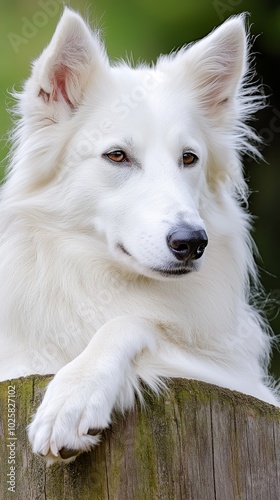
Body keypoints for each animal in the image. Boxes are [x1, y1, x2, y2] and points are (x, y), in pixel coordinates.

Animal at [0, 7, 278, 462]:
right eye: (117, 156)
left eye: (189, 158)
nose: (192, 243)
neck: (103, 280)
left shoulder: (231, 376)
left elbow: (131, 322)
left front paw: (74, 394)